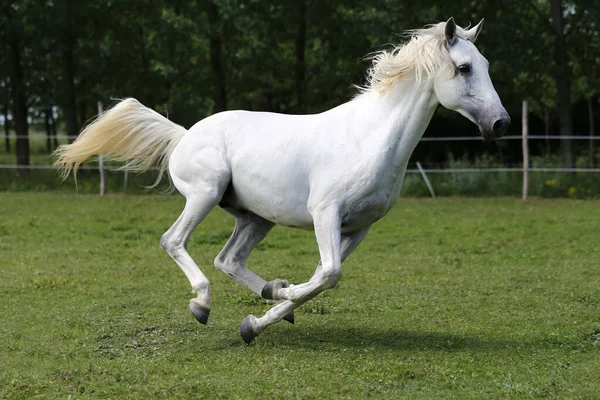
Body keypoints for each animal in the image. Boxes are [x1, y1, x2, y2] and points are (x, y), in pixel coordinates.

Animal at [54, 19, 508, 344]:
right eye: (463, 68)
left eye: (486, 66)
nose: (500, 124)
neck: (369, 138)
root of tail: (183, 134)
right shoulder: (325, 213)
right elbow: (328, 275)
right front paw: (280, 297)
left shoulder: (357, 228)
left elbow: (322, 277)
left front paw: (258, 321)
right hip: (204, 193)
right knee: (174, 241)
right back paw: (203, 303)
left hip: (256, 217)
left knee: (229, 259)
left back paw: (266, 293)